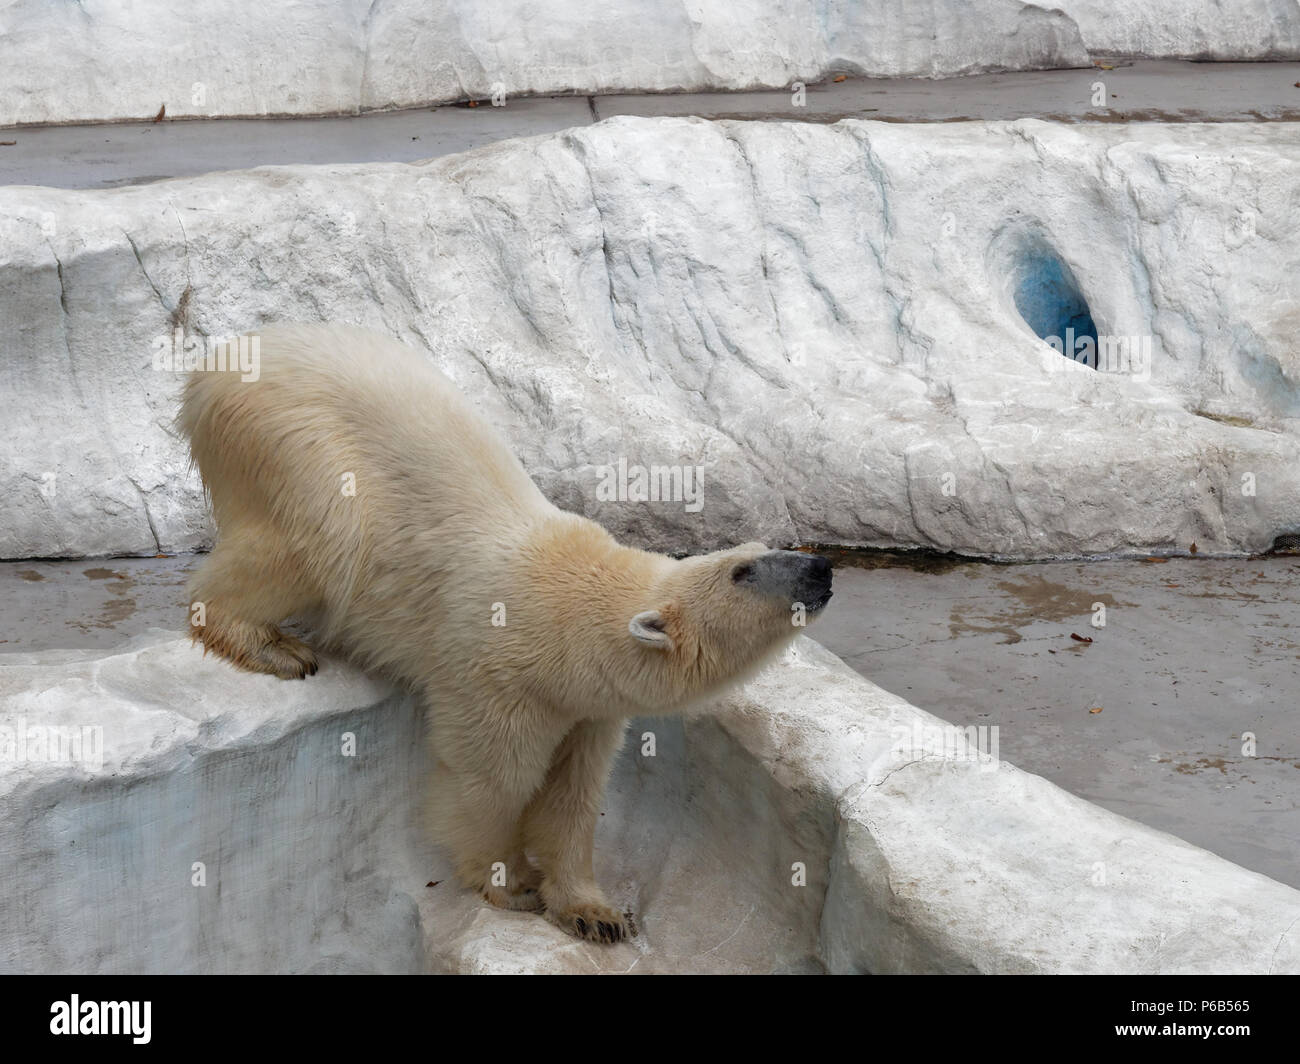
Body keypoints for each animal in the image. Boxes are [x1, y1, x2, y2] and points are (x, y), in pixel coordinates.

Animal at [178, 322, 833, 944]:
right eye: (742, 571)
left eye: (761, 549)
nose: (821, 568)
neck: (568, 612)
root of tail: (214, 370)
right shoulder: (496, 674)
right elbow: (492, 780)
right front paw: (511, 882)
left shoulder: (589, 709)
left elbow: (573, 795)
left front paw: (595, 914)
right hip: (295, 443)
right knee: (318, 540)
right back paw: (272, 645)